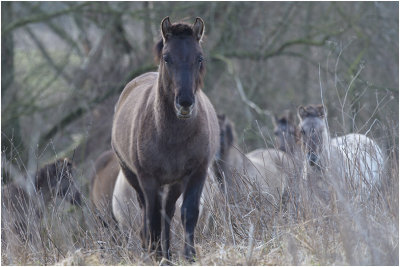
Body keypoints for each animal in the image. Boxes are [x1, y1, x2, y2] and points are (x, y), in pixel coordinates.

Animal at [111, 17, 219, 262]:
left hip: (175, 182)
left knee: (168, 212)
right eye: (167, 57)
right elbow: (152, 219)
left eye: (199, 57)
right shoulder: (148, 179)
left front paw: (189, 256)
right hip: (134, 177)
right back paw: (154, 251)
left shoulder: (196, 173)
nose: (185, 102)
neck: (173, 136)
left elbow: (188, 213)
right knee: (149, 213)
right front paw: (156, 255)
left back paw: (166, 252)